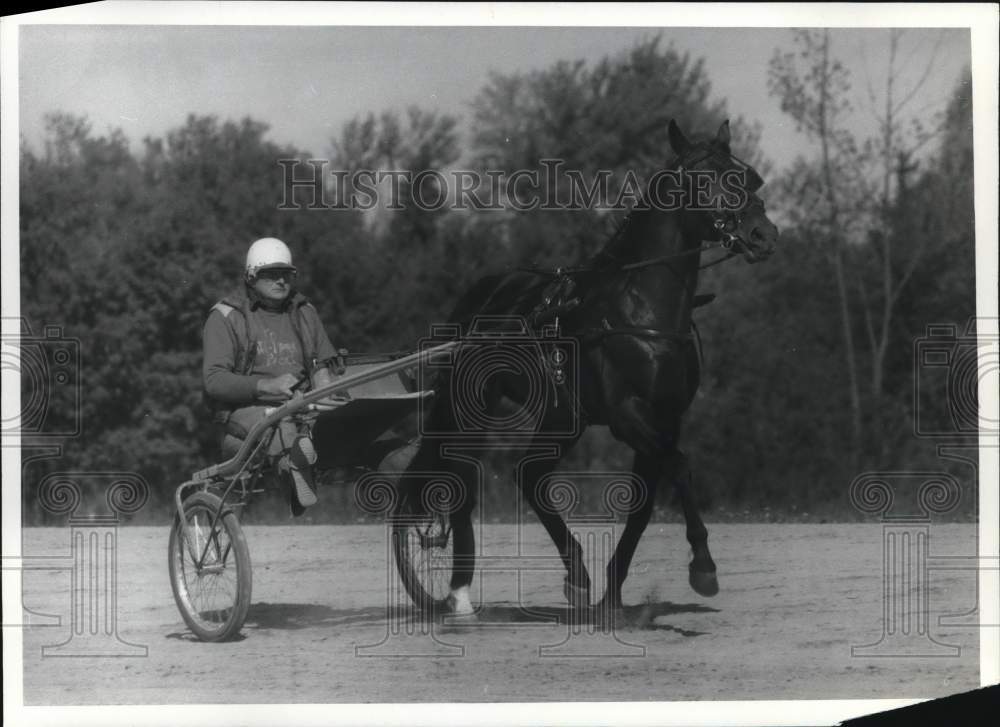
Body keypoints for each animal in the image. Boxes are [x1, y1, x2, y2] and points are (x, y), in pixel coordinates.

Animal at [396, 121, 780, 620]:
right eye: (703, 180)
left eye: (749, 177)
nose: (762, 234)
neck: (639, 313)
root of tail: (483, 293)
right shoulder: (626, 416)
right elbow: (679, 465)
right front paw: (703, 566)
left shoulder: (666, 417)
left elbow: (643, 504)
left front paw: (612, 593)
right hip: (474, 403)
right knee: (459, 472)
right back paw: (459, 591)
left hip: (563, 415)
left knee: (529, 475)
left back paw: (576, 575)